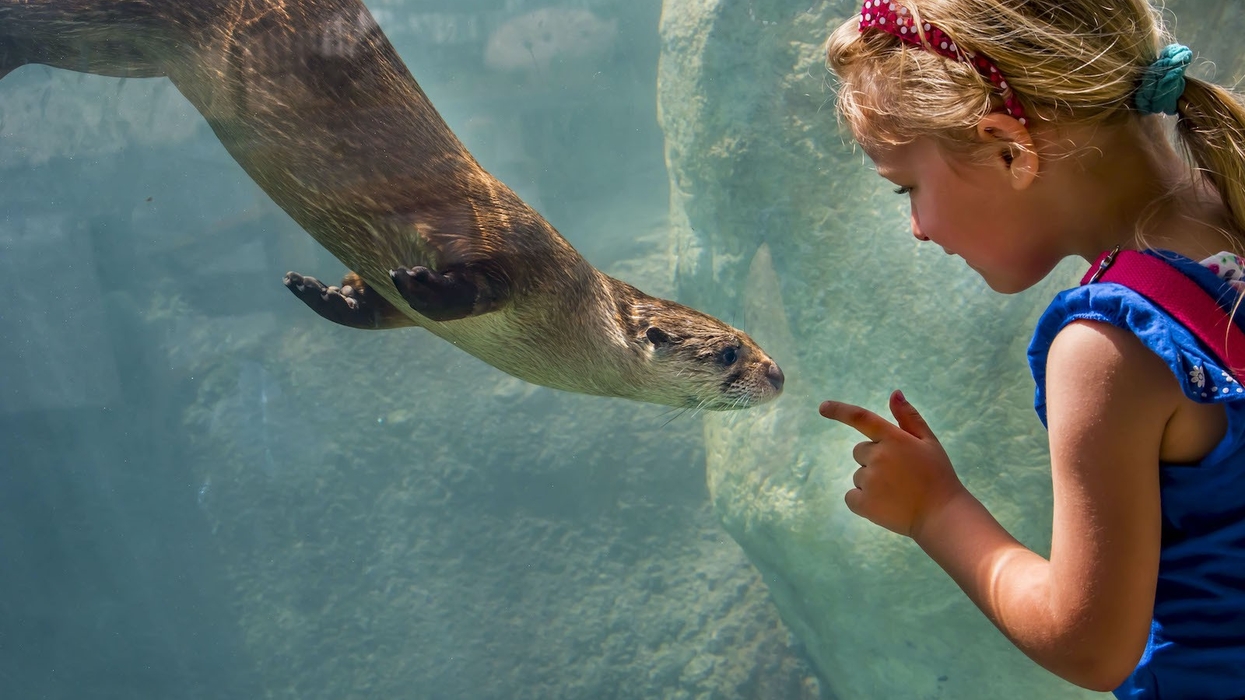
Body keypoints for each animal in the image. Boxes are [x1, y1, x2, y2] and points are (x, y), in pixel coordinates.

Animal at [0, 0, 784, 410]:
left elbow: (376, 307)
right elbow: (473, 279)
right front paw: (417, 281)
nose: (778, 373)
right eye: (729, 351)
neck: (576, 312)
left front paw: (320, 292)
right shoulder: (515, 251)